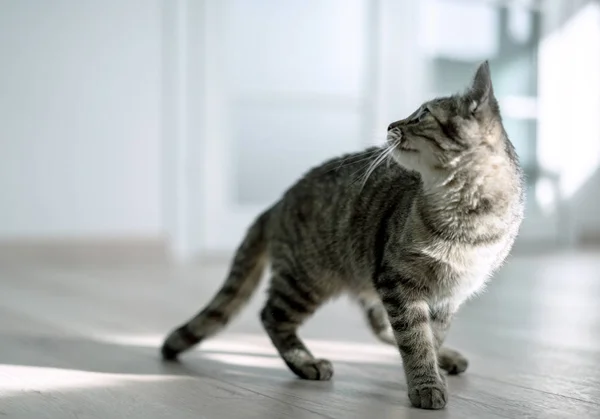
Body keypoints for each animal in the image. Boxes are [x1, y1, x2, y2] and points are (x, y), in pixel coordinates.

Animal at [161, 61, 524, 410]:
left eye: (422, 115)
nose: (390, 125)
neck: (466, 217)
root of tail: (278, 201)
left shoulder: (445, 296)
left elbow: (428, 337)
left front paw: (434, 368)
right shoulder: (397, 282)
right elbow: (416, 340)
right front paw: (426, 385)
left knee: (380, 327)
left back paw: (446, 358)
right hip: (306, 279)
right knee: (273, 317)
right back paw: (306, 363)